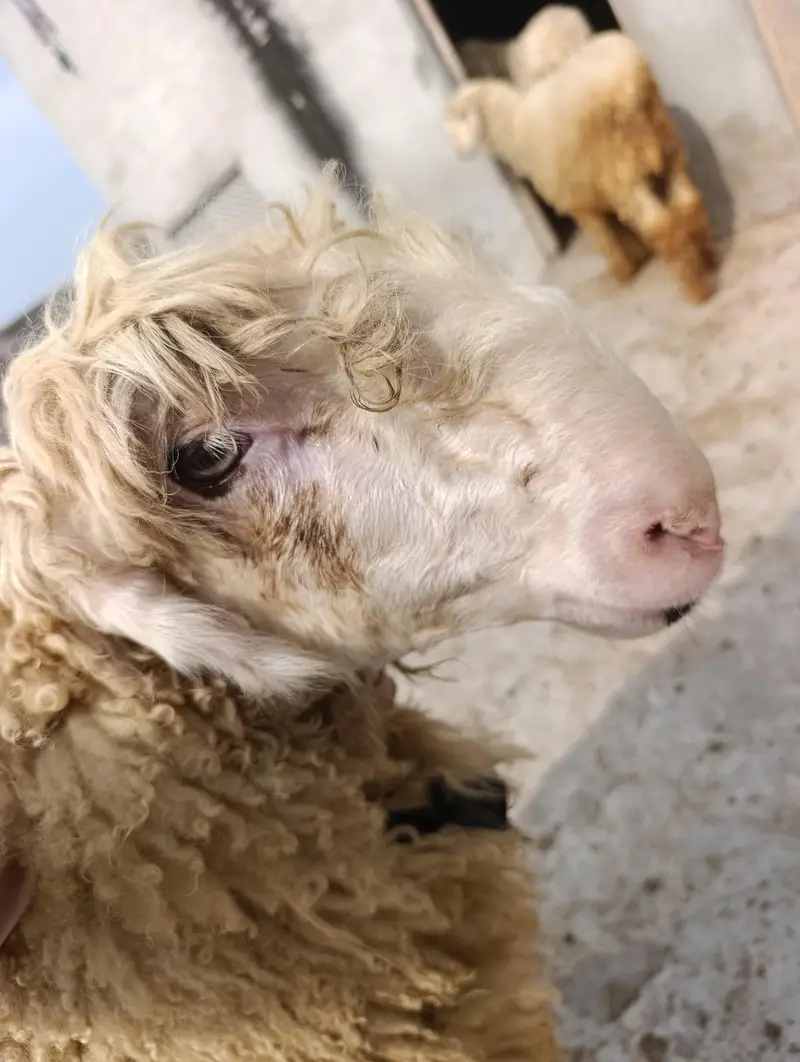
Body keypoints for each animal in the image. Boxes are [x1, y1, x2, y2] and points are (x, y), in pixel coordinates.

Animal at [446, 28, 717, 302]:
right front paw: (638, 254)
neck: (512, 126)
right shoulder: (594, 187)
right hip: (669, 150)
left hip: (624, 177)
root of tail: (630, 90)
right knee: (689, 202)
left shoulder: (575, 200)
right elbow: (620, 230)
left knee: (661, 227)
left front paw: (624, 271)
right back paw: (708, 260)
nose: (459, 151)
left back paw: (695, 288)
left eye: (458, 119)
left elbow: (602, 236)